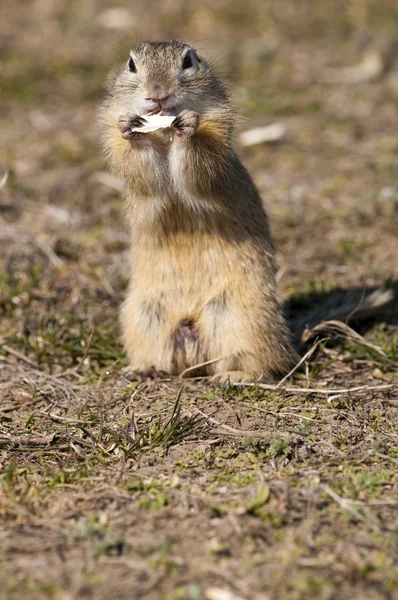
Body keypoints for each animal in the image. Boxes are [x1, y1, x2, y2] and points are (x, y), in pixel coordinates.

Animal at [99, 39, 298, 382]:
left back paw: (235, 376)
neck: (164, 133)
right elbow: (141, 171)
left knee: (266, 363)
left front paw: (189, 125)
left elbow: (200, 167)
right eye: (131, 64)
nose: (157, 93)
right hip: (142, 318)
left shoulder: (216, 133)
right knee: (164, 361)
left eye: (188, 61)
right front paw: (129, 127)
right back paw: (141, 369)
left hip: (243, 319)